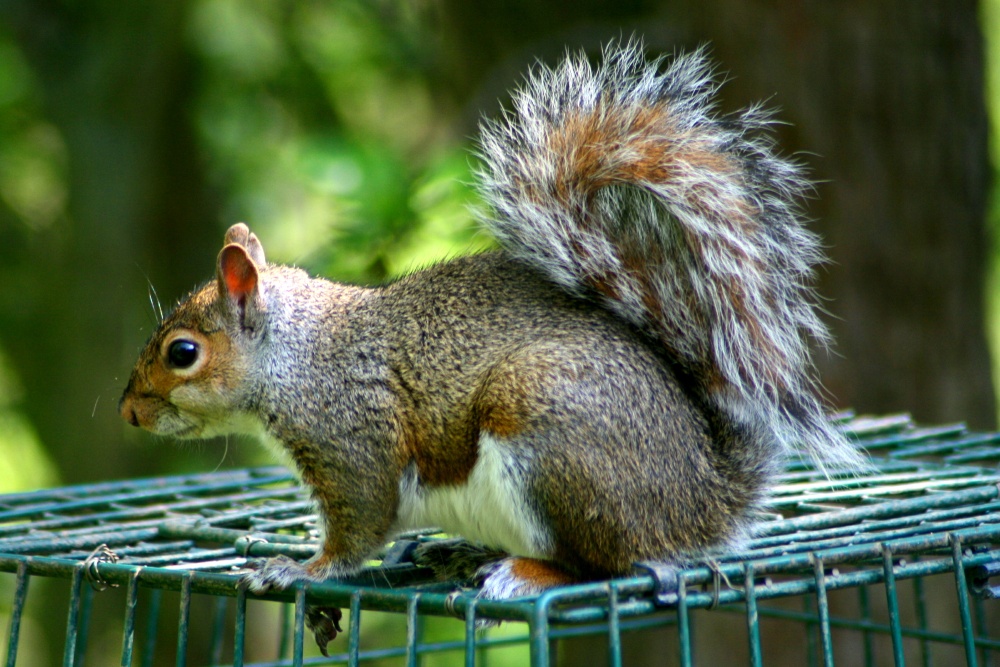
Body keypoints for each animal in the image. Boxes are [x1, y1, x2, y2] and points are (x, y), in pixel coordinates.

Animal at [123, 41, 860, 620]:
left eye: (183, 353)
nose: (129, 413)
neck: (298, 357)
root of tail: (706, 497)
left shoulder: (353, 438)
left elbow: (358, 527)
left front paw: (299, 569)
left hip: (547, 429)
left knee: (606, 564)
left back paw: (525, 572)